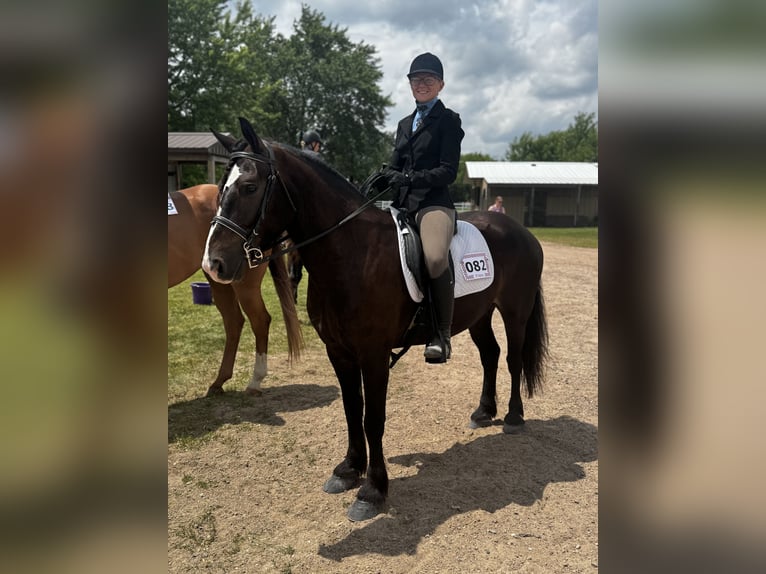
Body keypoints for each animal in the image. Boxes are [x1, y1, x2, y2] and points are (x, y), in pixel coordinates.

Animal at [168, 184, 303, 396]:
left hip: (244, 285)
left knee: (259, 320)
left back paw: (255, 381)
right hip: (217, 278)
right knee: (233, 321)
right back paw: (219, 382)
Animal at [202, 118, 548, 521]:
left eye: (249, 187)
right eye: (221, 188)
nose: (213, 264)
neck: (352, 253)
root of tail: (522, 232)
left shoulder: (373, 354)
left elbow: (373, 419)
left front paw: (373, 490)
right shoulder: (339, 351)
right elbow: (352, 409)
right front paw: (349, 470)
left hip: (515, 311)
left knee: (512, 359)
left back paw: (513, 418)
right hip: (479, 313)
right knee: (490, 355)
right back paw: (483, 412)